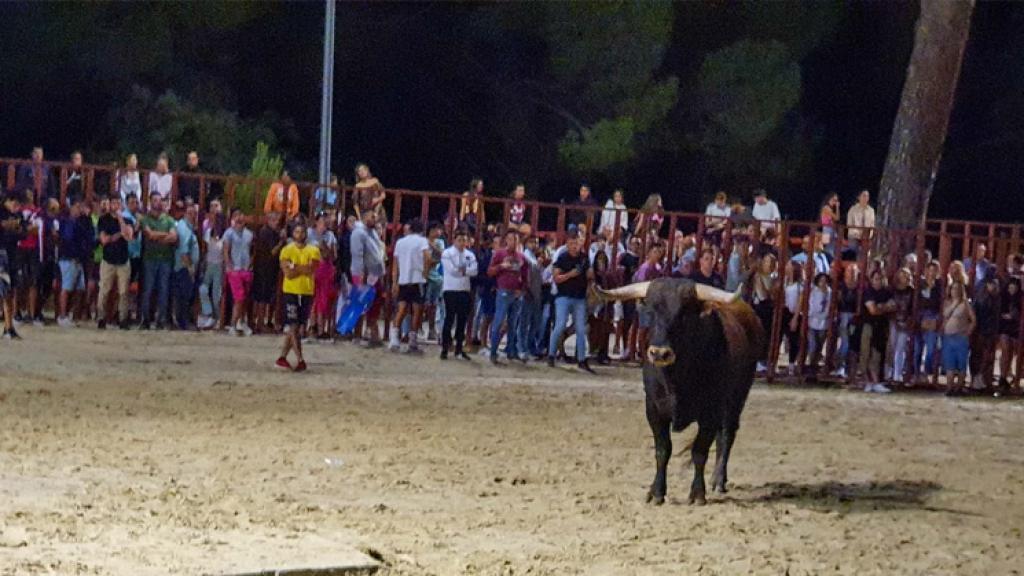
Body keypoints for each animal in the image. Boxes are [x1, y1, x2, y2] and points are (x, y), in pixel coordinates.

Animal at [593, 276, 761, 504]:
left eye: (683, 314)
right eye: (651, 311)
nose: (659, 353)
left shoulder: (710, 412)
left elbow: (699, 451)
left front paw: (697, 493)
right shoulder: (654, 409)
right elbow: (663, 450)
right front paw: (656, 491)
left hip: (737, 398)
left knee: (727, 434)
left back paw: (719, 479)